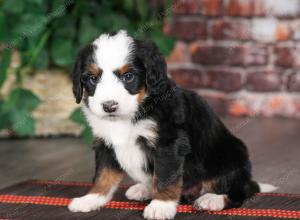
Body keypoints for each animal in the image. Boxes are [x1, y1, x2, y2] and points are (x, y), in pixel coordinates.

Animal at [68, 30, 276, 220]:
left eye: (128, 76)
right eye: (92, 78)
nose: (109, 106)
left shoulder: (168, 143)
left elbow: (165, 177)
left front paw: (160, 206)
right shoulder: (105, 143)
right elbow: (103, 175)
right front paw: (91, 199)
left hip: (230, 156)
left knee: (238, 193)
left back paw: (212, 200)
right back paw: (143, 189)